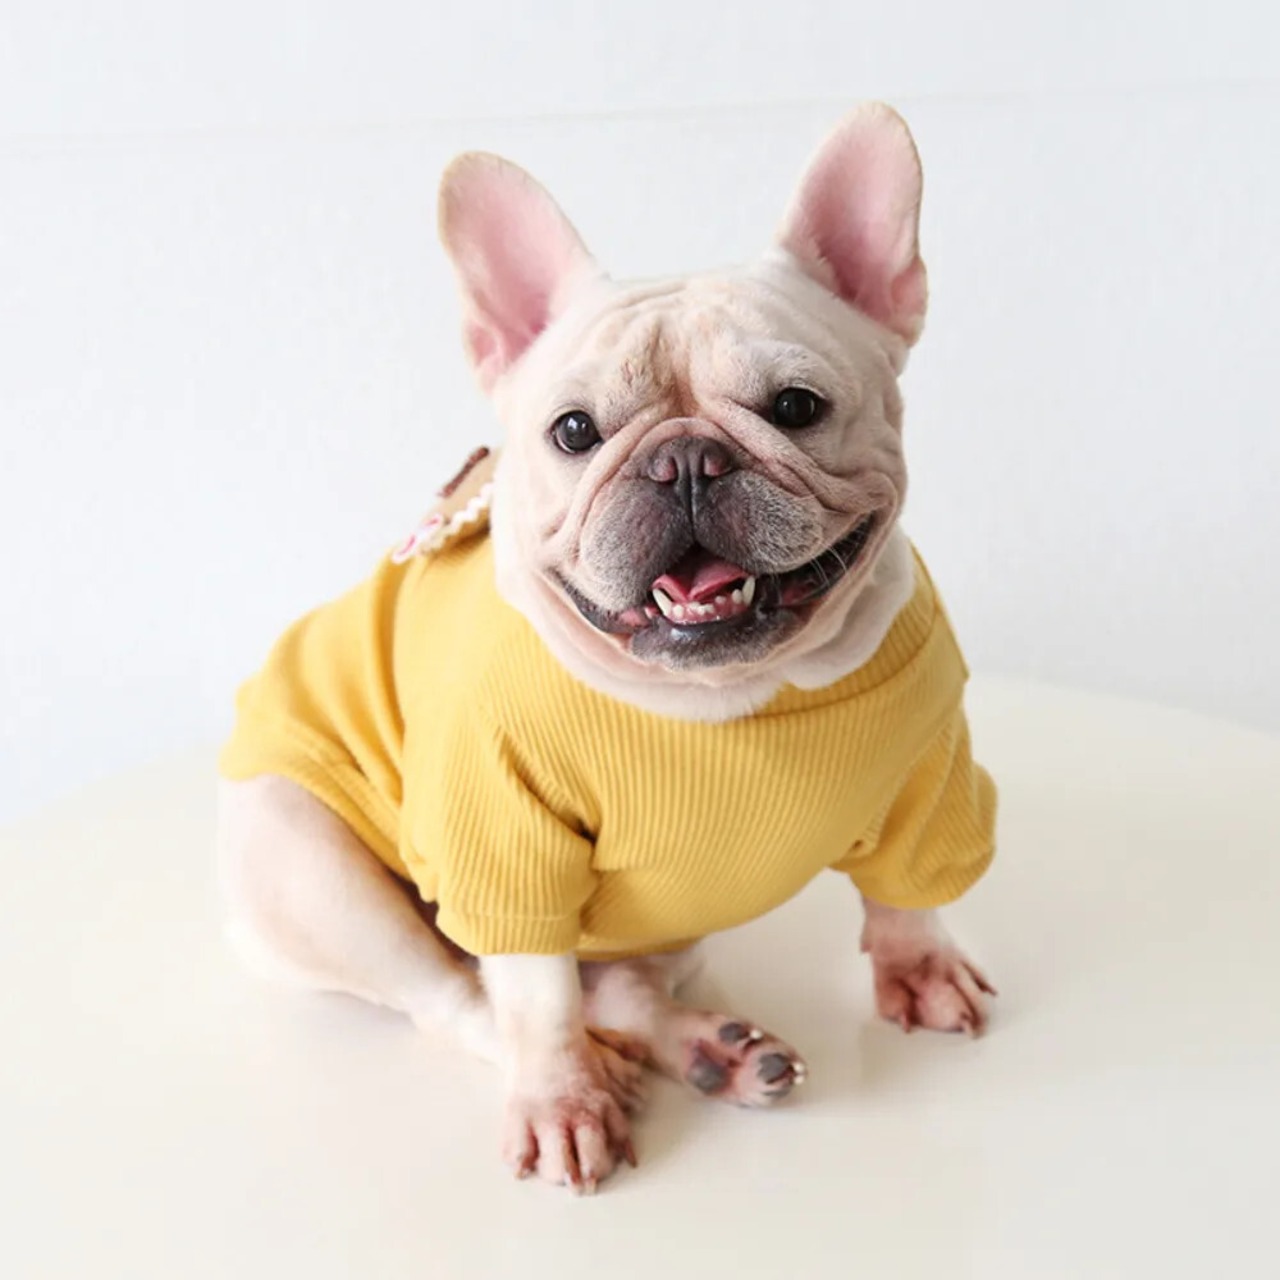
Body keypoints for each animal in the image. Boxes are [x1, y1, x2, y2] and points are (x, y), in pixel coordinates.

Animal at [217, 103, 997, 1194]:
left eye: (796, 407)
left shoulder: (928, 777)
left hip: (671, 927)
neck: (725, 696)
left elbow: (907, 895)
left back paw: (711, 1047)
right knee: (466, 999)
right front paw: (561, 1101)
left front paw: (917, 969)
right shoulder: (503, 849)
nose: (685, 458)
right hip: (303, 861)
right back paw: (601, 1069)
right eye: (575, 431)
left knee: (616, 987)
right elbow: (534, 1000)